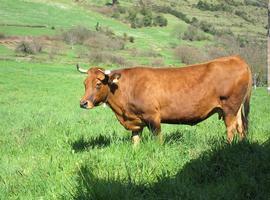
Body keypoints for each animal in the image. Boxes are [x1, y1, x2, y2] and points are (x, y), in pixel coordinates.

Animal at [77, 55, 252, 145]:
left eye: (98, 84)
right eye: (84, 83)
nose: (83, 103)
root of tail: (235, 58)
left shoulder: (153, 117)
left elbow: (158, 139)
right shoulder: (135, 121)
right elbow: (135, 140)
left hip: (230, 108)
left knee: (231, 129)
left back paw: (227, 146)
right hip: (235, 109)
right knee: (241, 127)